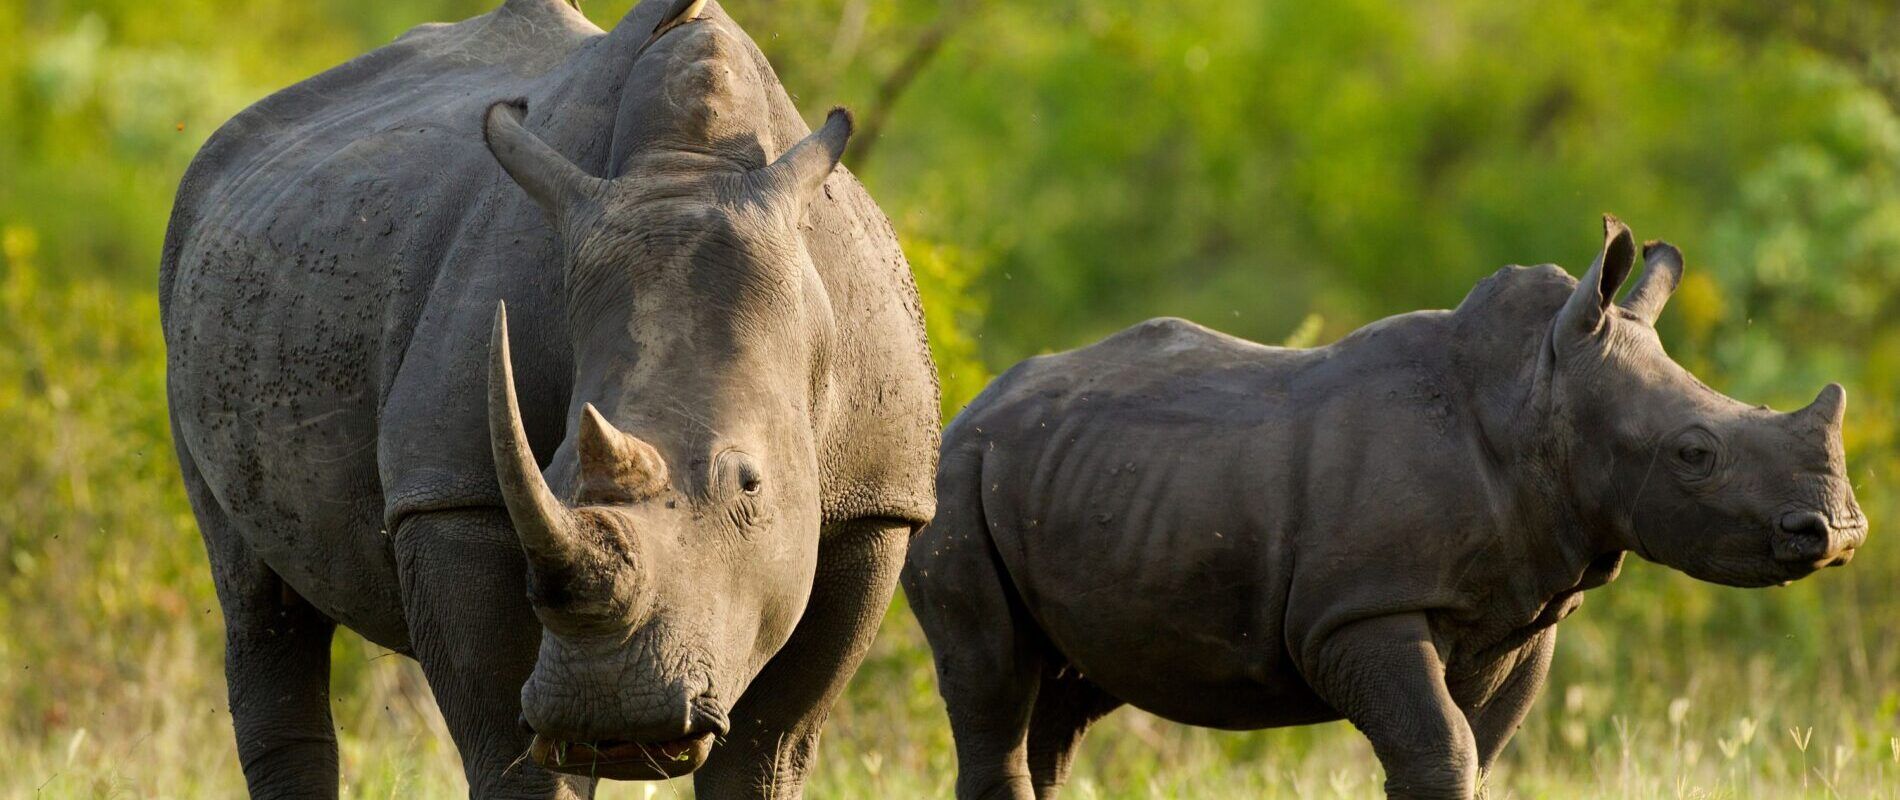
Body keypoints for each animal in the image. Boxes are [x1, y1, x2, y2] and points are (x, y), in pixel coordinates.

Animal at [159, 0, 938, 790]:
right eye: (551, 469)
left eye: (750, 484)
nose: (613, 714)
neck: (691, 169)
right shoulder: (452, 493)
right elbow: (511, 738)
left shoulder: (877, 503)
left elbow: (768, 747)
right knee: (257, 600)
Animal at [900, 213, 1854, 798]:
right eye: (1696, 455)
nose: (1838, 532)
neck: (1535, 396)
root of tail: (972, 406)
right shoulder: (1359, 609)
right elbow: (1440, 748)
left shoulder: (1521, 610)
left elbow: (1479, 751)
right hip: (954, 484)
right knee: (992, 675)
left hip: (1068, 480)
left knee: (1062, 697)